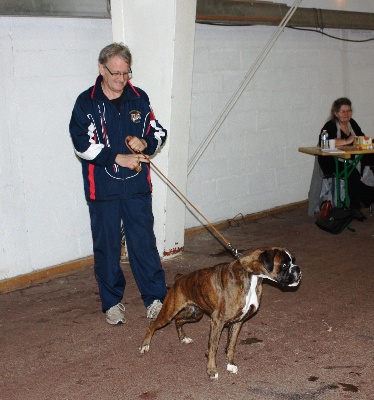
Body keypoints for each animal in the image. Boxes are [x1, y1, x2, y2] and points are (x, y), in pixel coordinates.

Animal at [140, 245, 300, 380]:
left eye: (293, 261)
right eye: (284, 265)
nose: (298, 269)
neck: (251, 275)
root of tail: (179, 278)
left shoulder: (238, 322)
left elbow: (231, 345)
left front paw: (230, 364)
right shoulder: (217, 321)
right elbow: (213, 347)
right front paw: (212, 370)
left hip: (194, 314)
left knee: (178, 320)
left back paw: (183, 338)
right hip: (169, 312)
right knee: (153, 324)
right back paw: (145, 346)